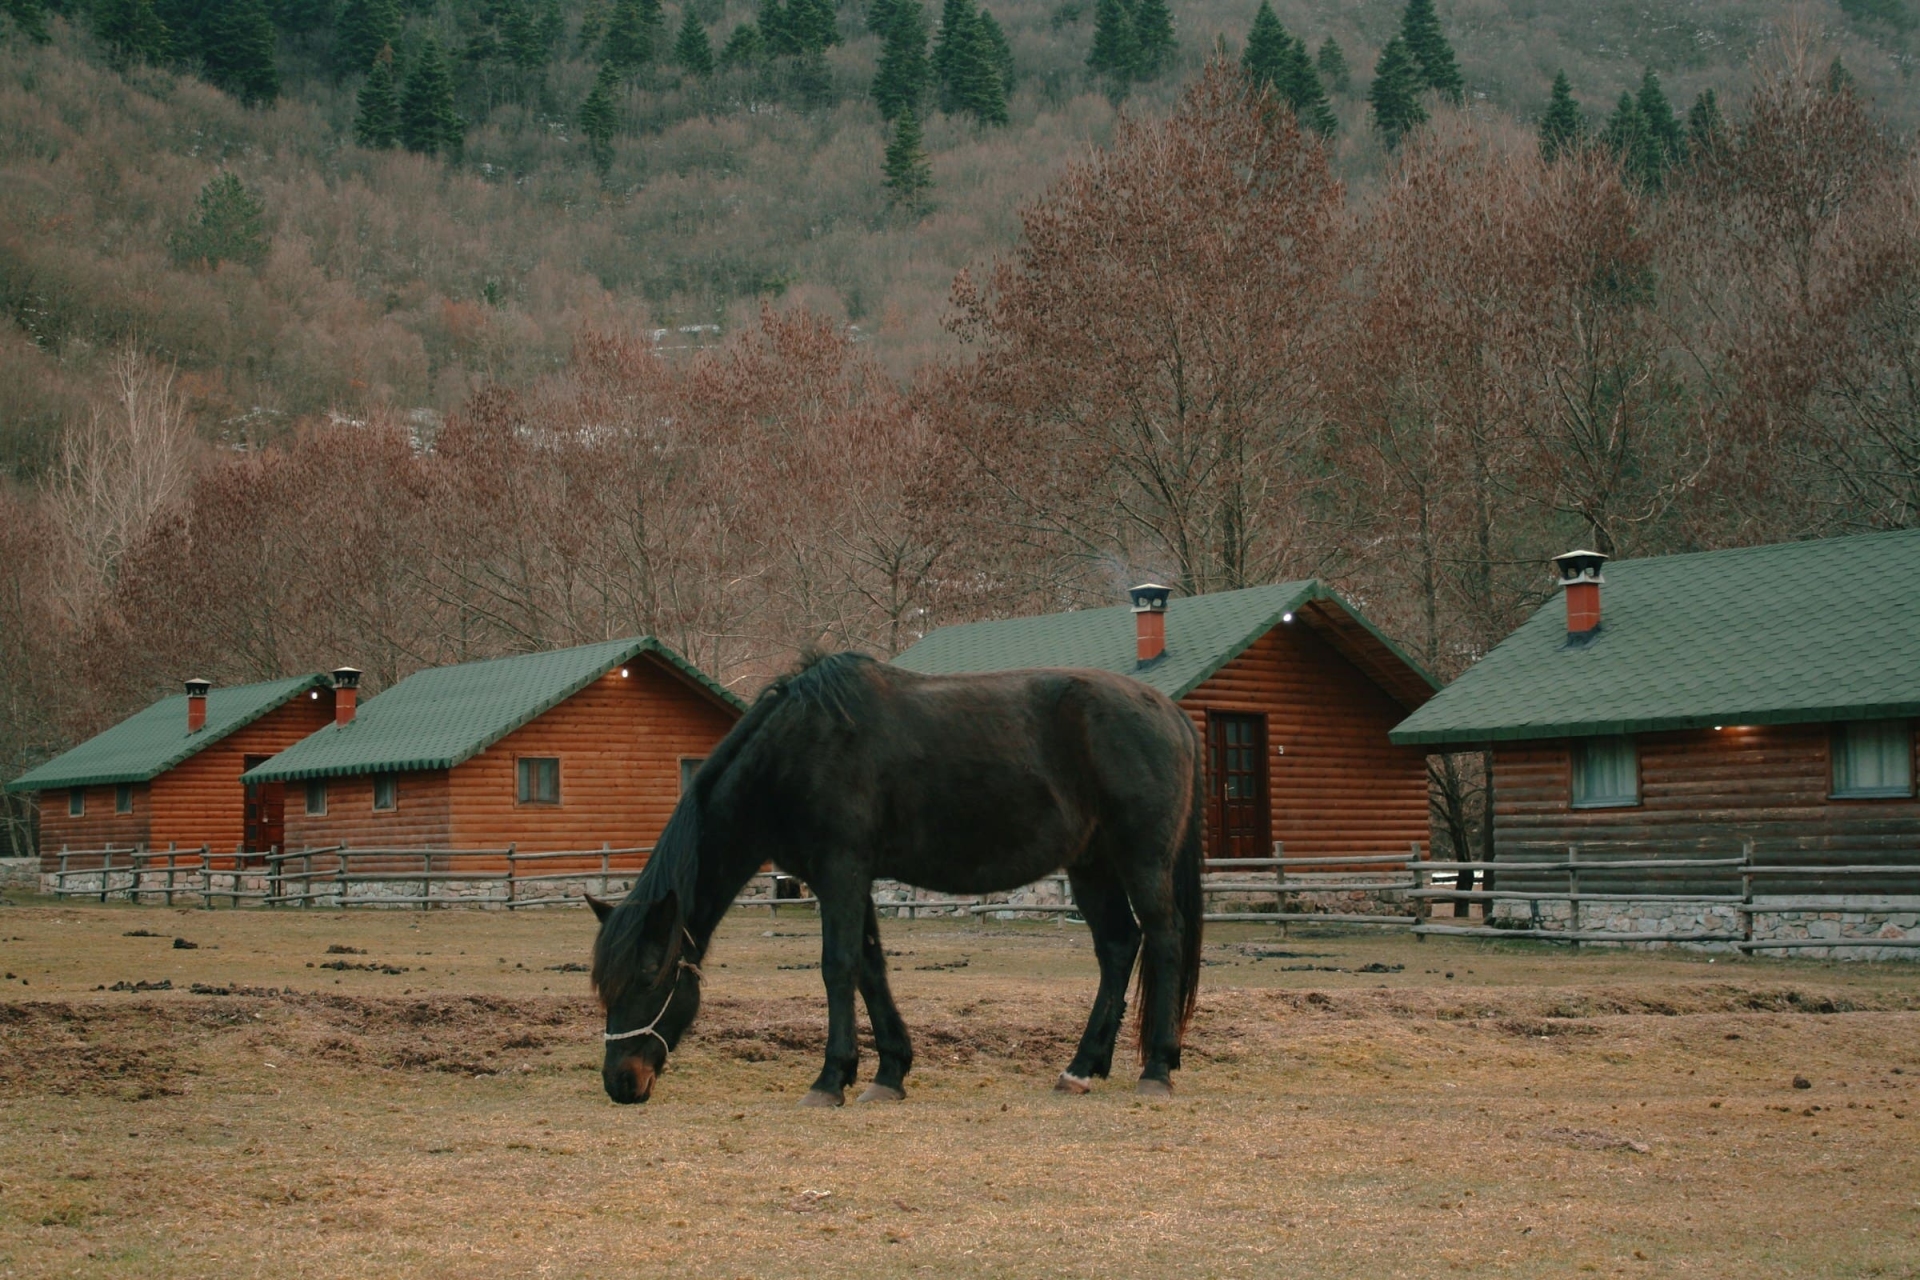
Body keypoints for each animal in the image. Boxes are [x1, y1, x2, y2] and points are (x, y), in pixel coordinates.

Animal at [586, 651, 1205, 1107]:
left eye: (649, 977)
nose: (621, 1082)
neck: (796, 751)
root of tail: (1170, 714)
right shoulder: (847, 879)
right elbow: (870, 967)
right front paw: (889, 1072)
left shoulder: (841, 871)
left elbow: (838, 967)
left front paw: (830, 1080)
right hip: (1091, 864)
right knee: (1119, 946)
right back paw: (1081, 1068)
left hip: (1140, 859)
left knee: (1163, 939)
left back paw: (1156, 1068)